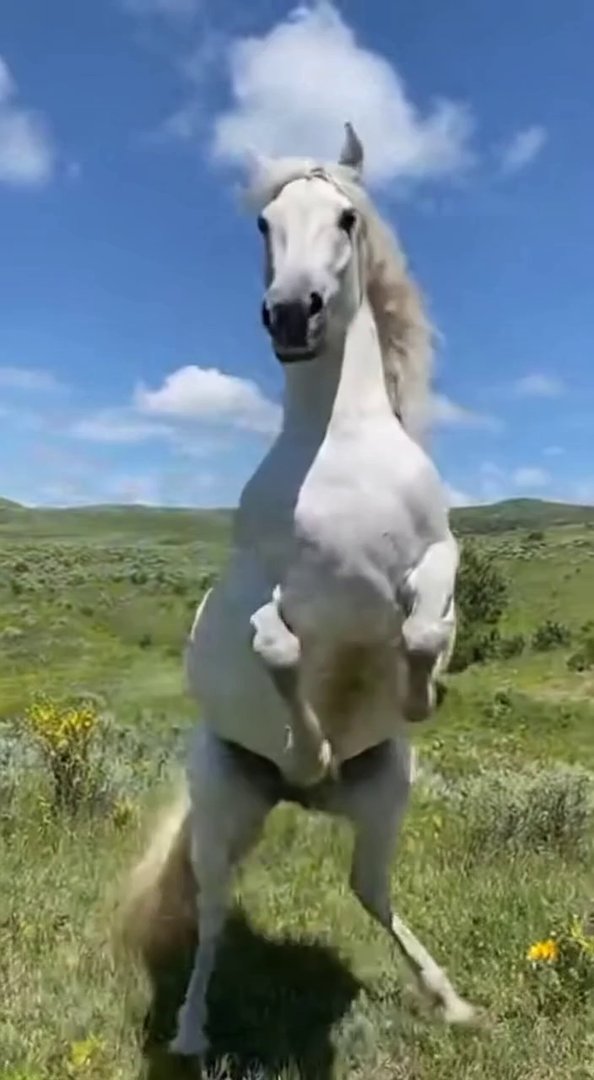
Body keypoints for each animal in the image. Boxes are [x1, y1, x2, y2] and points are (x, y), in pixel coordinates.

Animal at [120, 123, 476, 1058]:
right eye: (263, 223)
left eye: (346, 218)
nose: (291, 313)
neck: (338, 448)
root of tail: (305, 806)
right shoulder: (266, 590)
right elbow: (279, 647)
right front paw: (311, 739)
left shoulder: (439, 554)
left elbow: (425, 628)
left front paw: (418, 692)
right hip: (224, 809)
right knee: (211, 917)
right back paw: (191, 1032)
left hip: (386, 795)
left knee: (371, 894)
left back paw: (452, 999)